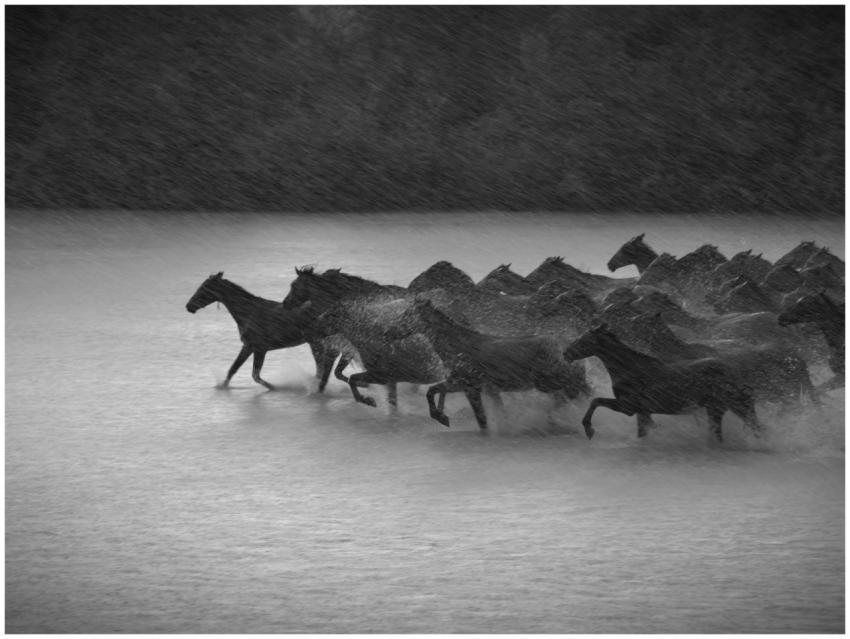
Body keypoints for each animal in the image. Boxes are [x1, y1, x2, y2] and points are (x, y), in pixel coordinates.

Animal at [186, 272, 353, 390]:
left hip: (316, 342)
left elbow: (254, 374)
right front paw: (222, 386)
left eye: (203, 288)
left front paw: (273, 387)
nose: (189, 306)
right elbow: (233, 370)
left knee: (323, 366)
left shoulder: (257, 348)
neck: (248, 313)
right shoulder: (251, 347)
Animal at [397, 297, 590, 429]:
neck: (455, 347)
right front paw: (442, 416)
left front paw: (441, 417)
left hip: (547, 382)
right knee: (575, 394)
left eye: (407, 314)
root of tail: (568, 349)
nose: (393, 329)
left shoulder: (467, 384)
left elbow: (433, 392)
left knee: (573, 392)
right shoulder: (471, 386)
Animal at [562, 324, 763, 442]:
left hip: (729, 406)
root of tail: (736, 373)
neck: (629, 370)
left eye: (583, 339)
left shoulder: (627, 406)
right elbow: (643, 431)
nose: (566, 353)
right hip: (718, 408)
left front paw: (589, 429)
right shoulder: (642, 411)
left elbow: (595, 401)